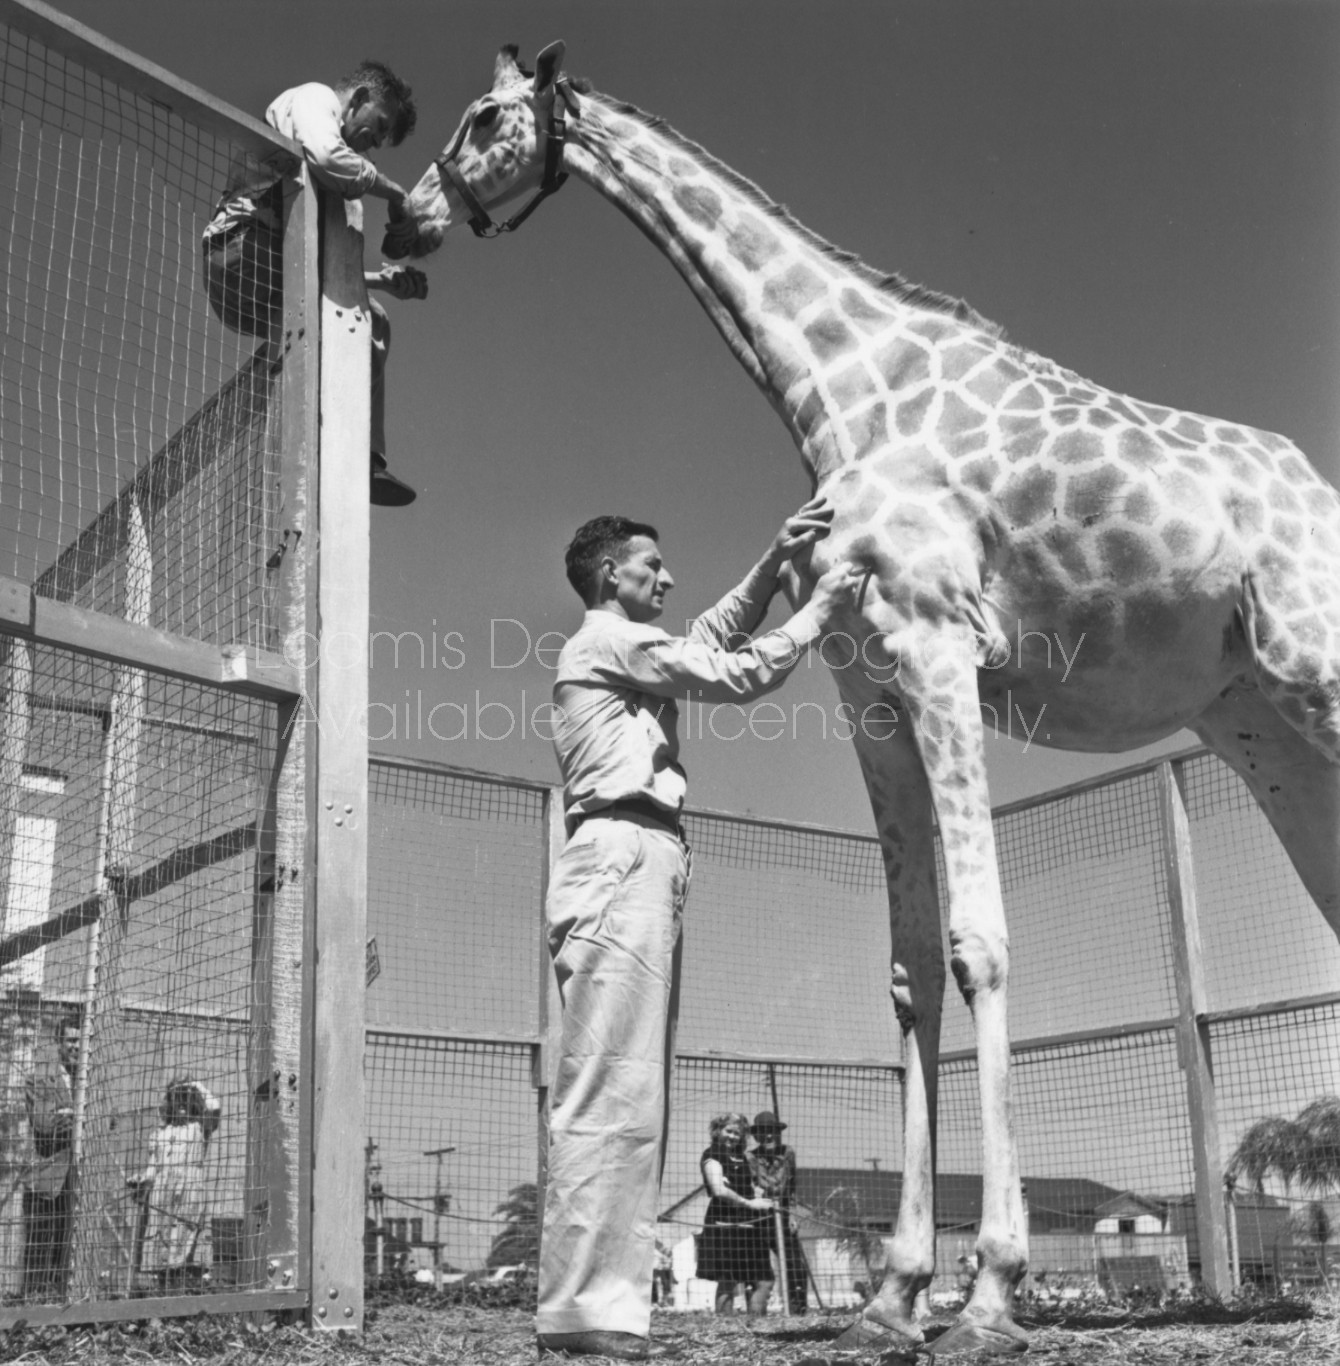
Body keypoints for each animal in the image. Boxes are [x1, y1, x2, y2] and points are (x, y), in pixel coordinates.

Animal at [382, 42, 1338, 1355]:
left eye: (483, 118)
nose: (409, 217)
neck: (844, 388)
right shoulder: (867, 692)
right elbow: (906, 975)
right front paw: (892, 1296)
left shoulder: (940, 652)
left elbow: (978, 944)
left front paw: (988, 1291)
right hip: (1260, 729)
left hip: (1312, 677)